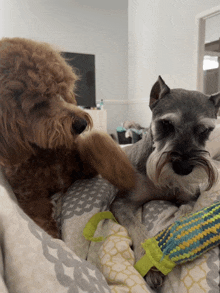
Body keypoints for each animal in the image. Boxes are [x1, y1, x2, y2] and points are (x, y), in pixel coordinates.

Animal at [0, 36, 136, 237]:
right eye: (38, 103)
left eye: (60, 90)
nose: (81, 124)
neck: (47, 153)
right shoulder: (30, 196)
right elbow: (40, 221)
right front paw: (53, 236)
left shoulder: (83, 170)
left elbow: (94, 139)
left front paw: (123, 173)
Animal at [111, 75, 220, 288]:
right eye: (167, 124)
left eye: (205, 130)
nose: (183, 167)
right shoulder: (122, 203)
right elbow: (137, 227)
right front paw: (150, 265)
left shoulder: (189, 198)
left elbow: (185, 212)